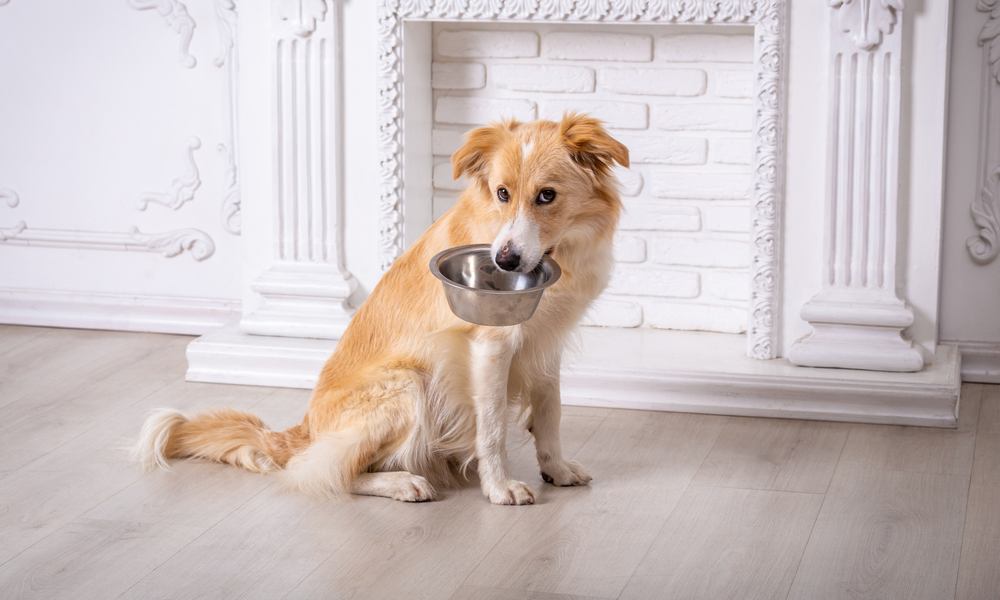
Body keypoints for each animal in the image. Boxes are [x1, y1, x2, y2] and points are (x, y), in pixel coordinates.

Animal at [135, 113, 624, 506]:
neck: (559, 254)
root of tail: (304, 430)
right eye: (503, 193)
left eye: (546, 196)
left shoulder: (546, 342)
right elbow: (492, 428)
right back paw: (402, 482)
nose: (504, 260)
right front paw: (500, 487)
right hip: (409, 385)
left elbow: (550, 413)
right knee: (322, 469)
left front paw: (555, 469)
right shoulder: (490, 345)